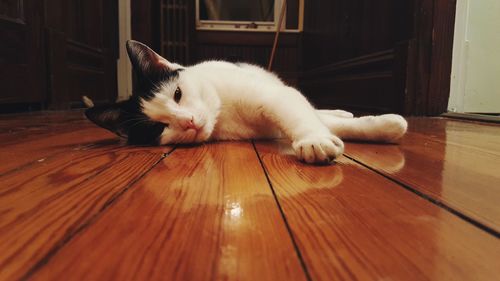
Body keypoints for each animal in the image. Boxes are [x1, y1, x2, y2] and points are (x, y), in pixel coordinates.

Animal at [85, 40, 406, 165]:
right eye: (157, 128)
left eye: (177, 94)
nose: (188, 122)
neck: (224, 114)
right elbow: (328, 124)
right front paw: (384, 127)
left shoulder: (276, 97)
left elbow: (305, 116)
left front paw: (314, 139)